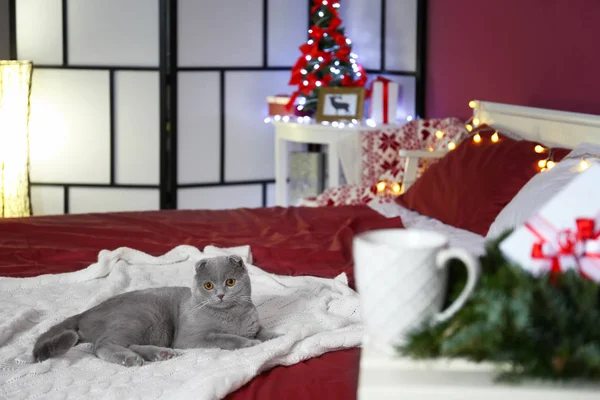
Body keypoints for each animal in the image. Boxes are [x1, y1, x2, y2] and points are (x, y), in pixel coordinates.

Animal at [32, 256, 276, 366]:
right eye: (208, 285)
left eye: (230, 282)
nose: (220, 294)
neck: (232, 315)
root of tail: (85, 313)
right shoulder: (190, 338)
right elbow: (223, 337)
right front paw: (249, 343)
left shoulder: (253, 323)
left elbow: (262, 330)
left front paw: (274, 336)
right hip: (143, 316)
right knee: (102, 345)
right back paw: (132, 359)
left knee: (126, 343)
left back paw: (161, 354)